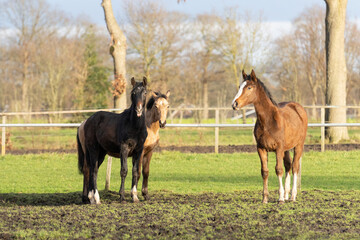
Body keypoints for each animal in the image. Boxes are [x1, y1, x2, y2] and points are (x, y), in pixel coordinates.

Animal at [232, 69, 308, 202]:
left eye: (249, 87)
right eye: (240, 87)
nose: (234, 104)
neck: (268, 121)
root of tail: (299, 108)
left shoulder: (278, 148)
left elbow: (278, 169)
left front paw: (280, 198)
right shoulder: (261, 148)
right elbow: (265, 171)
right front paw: (265, 198)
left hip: (298, 145)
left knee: (294, 167)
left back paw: (292, 196)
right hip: (286, 149)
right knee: (288, 165)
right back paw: (287, 194)